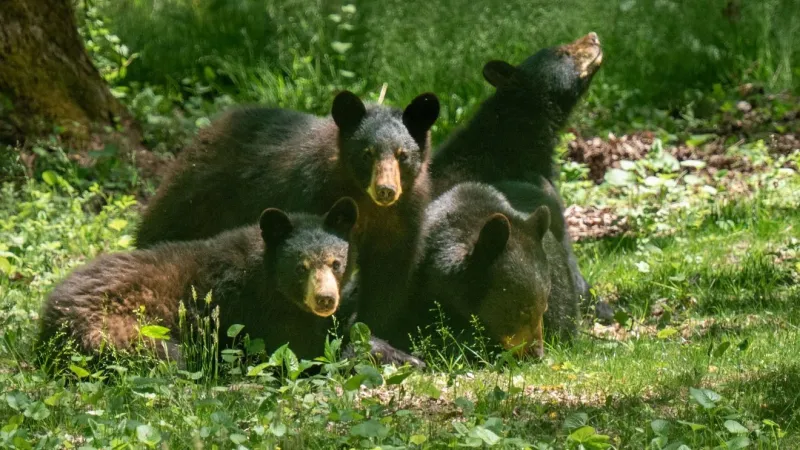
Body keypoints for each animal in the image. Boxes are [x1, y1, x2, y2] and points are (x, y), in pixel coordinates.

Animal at [37, 197, 359, 363]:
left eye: (336, 263)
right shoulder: (257, 313)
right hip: (120, 331)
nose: (325, 299)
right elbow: (299, 350)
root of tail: (50, 316)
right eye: (300, 267)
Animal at [134, 90, 440, 341]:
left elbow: (388, 278)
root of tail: (208, 128)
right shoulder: (311, 196)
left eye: (402, 155)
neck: (366, 205)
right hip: (195, 198)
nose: (386, 190)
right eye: (367, 153)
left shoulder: (403, 219)